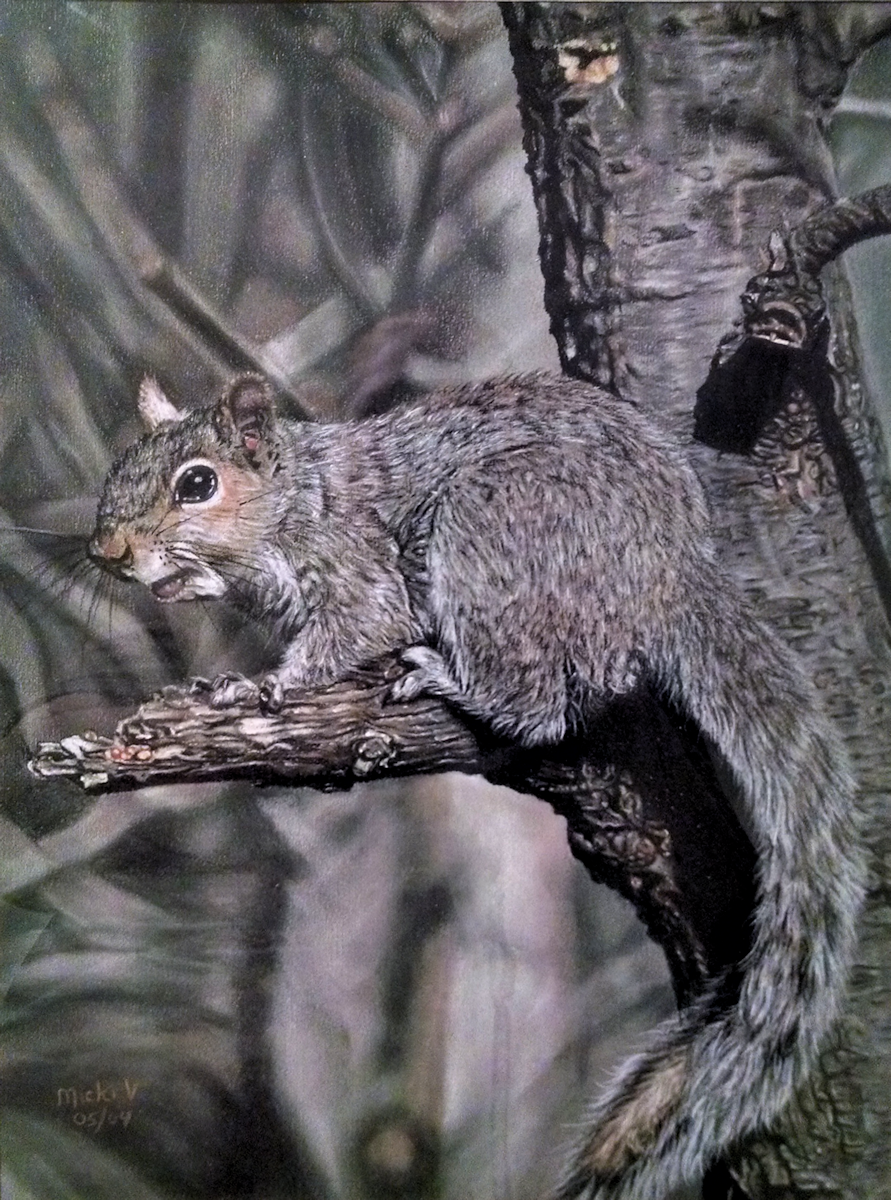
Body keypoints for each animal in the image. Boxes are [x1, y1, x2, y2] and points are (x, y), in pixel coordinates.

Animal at [90, 369, 864, 1200]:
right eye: (117, 466)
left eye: (197, 484)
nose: (106, 551)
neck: (302, 499)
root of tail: (669, 578)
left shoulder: (357, 571)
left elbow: (348, 635)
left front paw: (263, 687)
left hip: (492, 527)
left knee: (541, 703)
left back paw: (449, 680)